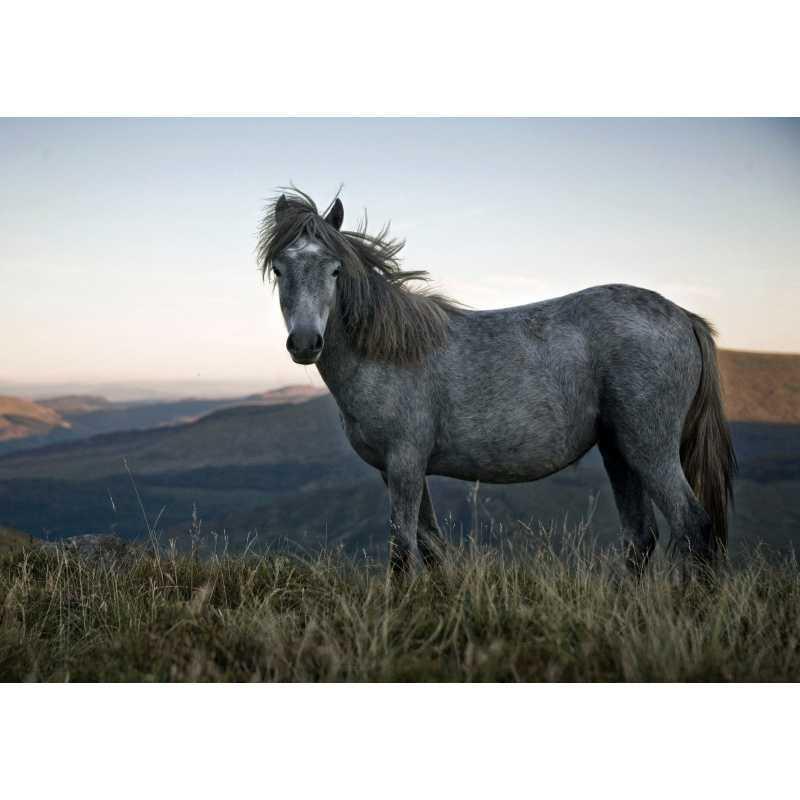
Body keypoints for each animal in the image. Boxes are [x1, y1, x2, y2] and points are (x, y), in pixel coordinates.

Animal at [257, 189, 736, 575]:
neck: (388, 352)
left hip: (650, 449)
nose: (305, 342)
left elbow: (402, 550)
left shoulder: (405, 463)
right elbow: (430, 546)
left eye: (335, 270)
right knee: (641, 537)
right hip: (619, 451)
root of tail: (684, 317)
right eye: (279, 269)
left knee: (693, 525)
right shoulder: (397, 470)